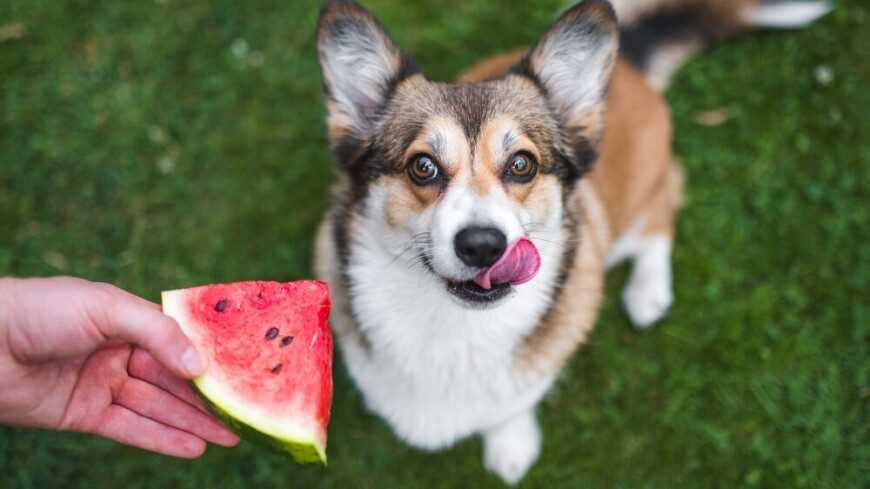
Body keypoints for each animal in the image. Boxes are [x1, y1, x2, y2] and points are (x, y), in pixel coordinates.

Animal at [314, 0, 832, 480]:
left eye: (521, 164)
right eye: (422, 166)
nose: (483, 245)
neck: (452, 327)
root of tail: (628, 60)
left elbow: (513, 404)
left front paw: (511, 446)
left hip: (635, 209)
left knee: (664, 207)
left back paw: (648, 291)